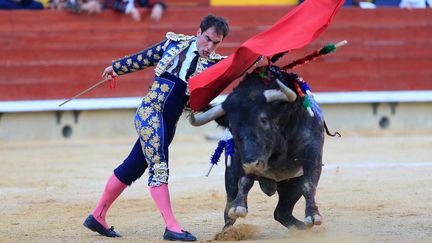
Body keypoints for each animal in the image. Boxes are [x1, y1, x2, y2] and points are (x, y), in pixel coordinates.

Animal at [189, 65, 334, 231]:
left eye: (263, 120)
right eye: (231, 127)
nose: (253, 165)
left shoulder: (312, 152)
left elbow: (309, 183)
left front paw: (313, 216)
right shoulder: (243, 157)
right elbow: (244, 181)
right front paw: (239, 208)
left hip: (291, 184)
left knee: (282, 212)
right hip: (231, 175)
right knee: (230, 205)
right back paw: (227, 230)